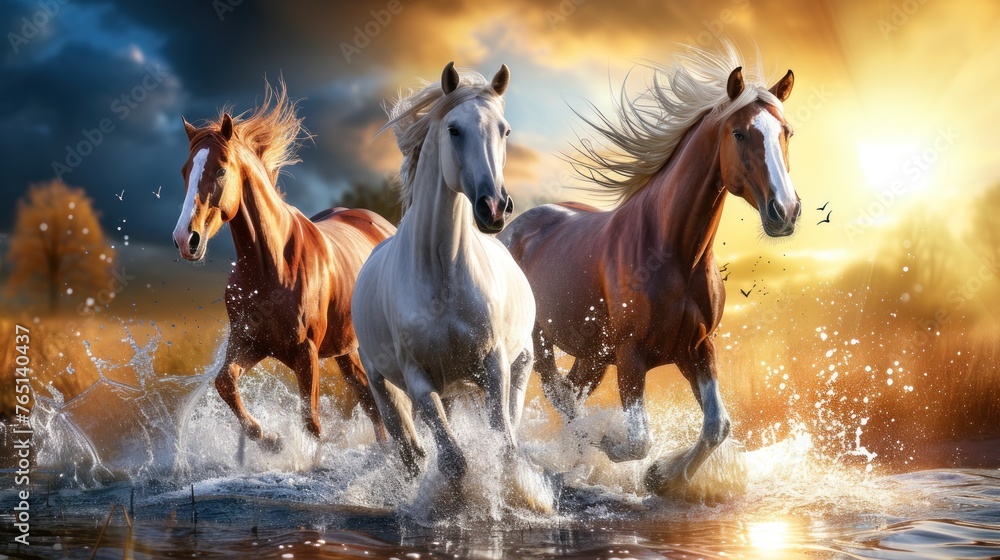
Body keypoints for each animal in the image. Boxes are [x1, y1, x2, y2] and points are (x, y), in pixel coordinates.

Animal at [172, 81, 395, 452]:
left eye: (220, 169)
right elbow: (224, 383)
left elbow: (312, 423)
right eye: (185, 171)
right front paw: (269, 439)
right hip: (346, 350)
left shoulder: (306, 355)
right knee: (368, 397)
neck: (270, 269)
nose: (184, 238)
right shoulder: (248, 343)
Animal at [352, 62, 537, 492]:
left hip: (517, 367)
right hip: (384, 388)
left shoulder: (494, 367)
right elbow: (453, 460)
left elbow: (504, 448)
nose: (494, 207)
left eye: (504, 130)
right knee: (411, 453)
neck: (442, 278)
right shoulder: (419, 380)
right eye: (454, 129)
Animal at [500, 43, 801, 495]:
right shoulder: (631, 354)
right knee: (559, 395)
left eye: (787, 132)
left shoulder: (697, 348)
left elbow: (717, 425)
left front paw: (663, 476)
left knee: (570, 393)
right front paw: (610, 442)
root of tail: (512, 230)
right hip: (540, 345)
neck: (673, 252)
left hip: (593, 355)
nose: (785, 211)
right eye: (740, 133)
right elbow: (638, 438)